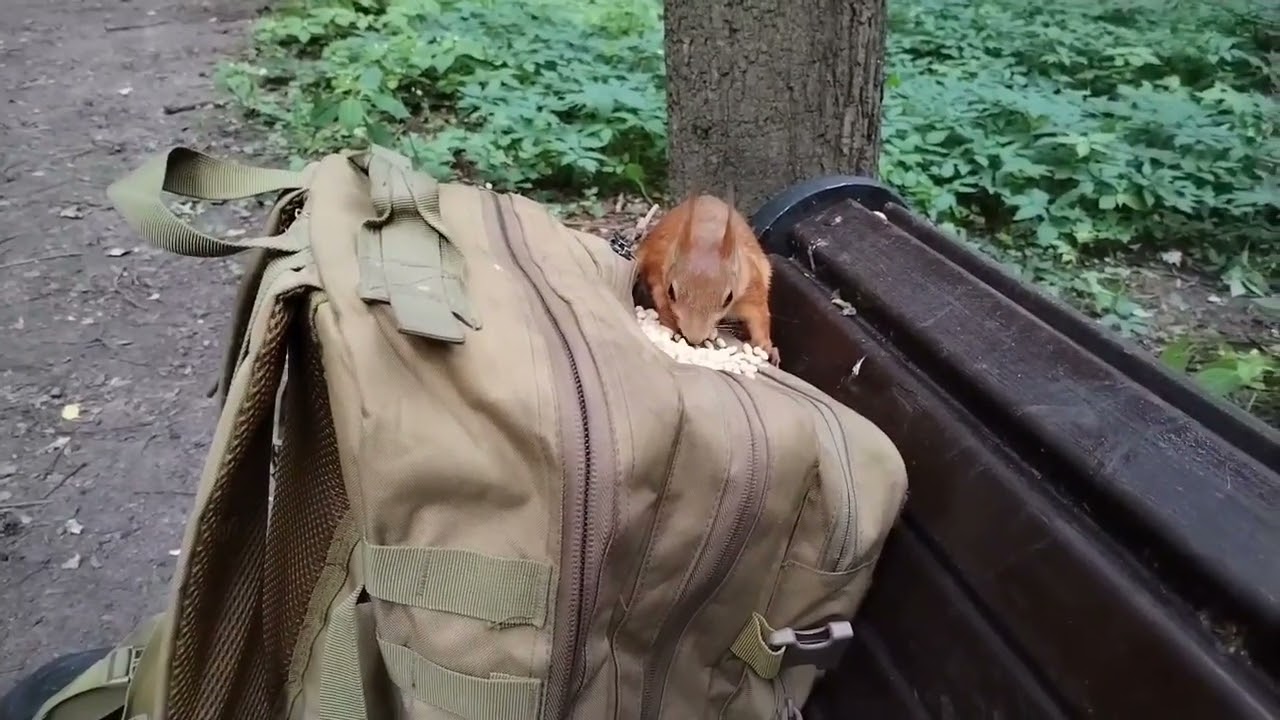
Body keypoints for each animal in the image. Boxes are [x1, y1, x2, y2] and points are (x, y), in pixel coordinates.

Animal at [634, 191, 779, 366]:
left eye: (729, 298)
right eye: (671, 292)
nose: (694, 339)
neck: (706, 236)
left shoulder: (750, 283)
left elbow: (759, 313)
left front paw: (765, 346)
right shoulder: (657, 263)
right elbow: (659, 295)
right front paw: (668, 319)